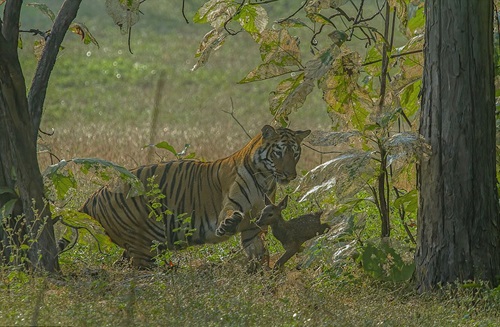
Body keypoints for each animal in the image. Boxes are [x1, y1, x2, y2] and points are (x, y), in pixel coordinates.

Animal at [80, 124, 310, 270]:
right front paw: (228, 225)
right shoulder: (231, 204)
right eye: (279, 152)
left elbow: (260, 254)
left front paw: (260, 274)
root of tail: (93, 196)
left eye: (296, 153)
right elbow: (229, 216)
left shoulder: (255, 227)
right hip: (146, 240)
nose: (290, 175)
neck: (265, 180)